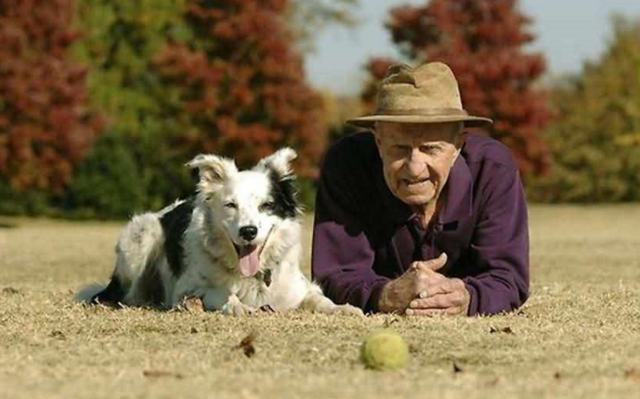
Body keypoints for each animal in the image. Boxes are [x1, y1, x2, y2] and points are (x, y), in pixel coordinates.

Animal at [77, 148, 362, 318]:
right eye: (230, 205)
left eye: (266, 205)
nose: (248, 231)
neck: (252, 277)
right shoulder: (185, 287)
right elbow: (220, 293)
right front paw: (238, 306)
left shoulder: (297, 289)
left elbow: (319, 300)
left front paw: (344, 308)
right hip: (142, 235)